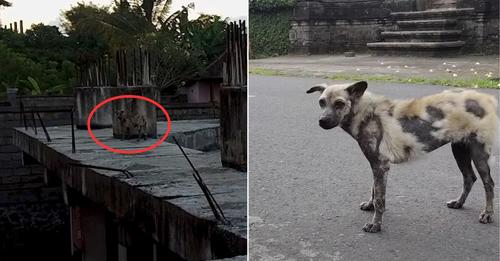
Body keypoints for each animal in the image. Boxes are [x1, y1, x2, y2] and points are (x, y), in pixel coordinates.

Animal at [306, 81, 498, 232]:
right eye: (321, 102)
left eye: (339, 103)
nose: (322, 121)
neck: (367, 114)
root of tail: (486, 99)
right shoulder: (377, 166)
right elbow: (374, 190)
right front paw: (370, 206)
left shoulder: (380, 166)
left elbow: (380, 199)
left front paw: (376, 225)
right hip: (460, 152)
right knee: (469, 178)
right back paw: (459, 203)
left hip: (478, 156)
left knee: (488, 184)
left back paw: (488, 214)